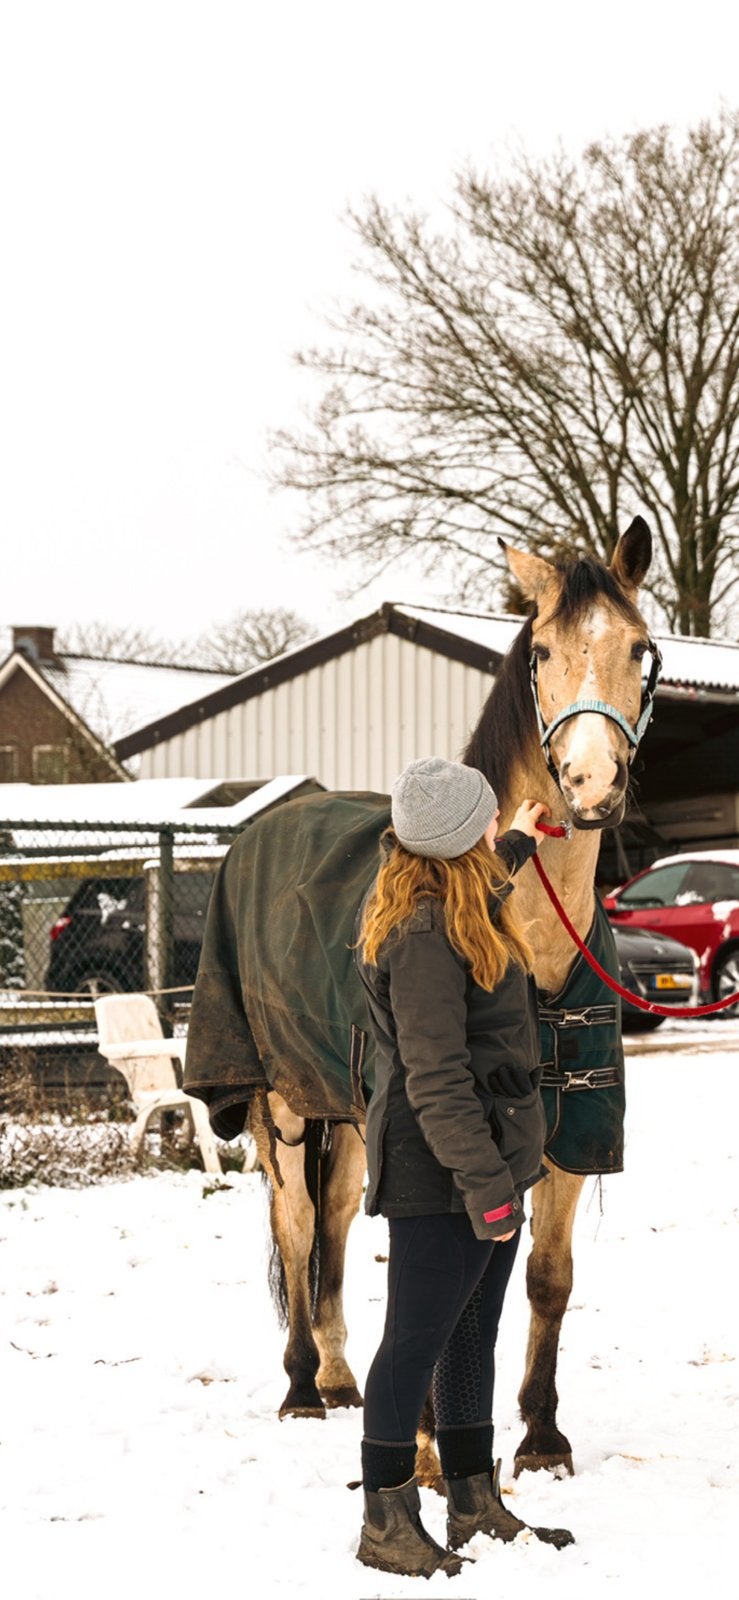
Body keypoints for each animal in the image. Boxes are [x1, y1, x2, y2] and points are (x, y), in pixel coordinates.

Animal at [184, 515, 656, 1479]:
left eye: (637, 648)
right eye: (541, 651)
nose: (590, 786)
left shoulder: (567, 1132)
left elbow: (547, 1279)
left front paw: (540, 1438)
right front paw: (436, 1448)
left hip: (346, 1110)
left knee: (329, 1223)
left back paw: (336, 1378)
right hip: (279, 1100)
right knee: (296, 1225)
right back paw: (300, 1387)